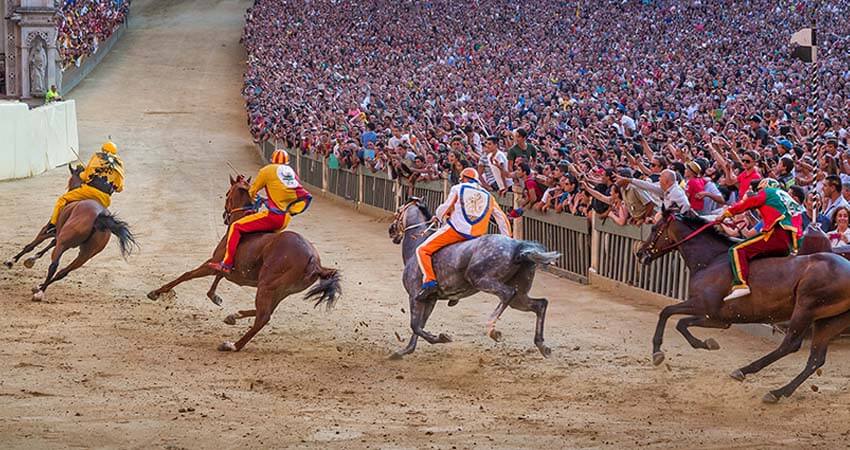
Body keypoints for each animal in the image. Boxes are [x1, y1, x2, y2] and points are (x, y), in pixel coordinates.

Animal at [2, 163, 136, 300]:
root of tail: (99, 217)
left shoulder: (47, 229)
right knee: (63, 272)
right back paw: (39, 287)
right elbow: (49, 244)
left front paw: (11, 261)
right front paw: (31, 259)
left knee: (54, 265)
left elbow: (32, 245)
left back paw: (40, 292)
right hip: (85, 254)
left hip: (64, 244)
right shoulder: (58, 234)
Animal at [147, 175, 340, 352]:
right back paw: (234, 316)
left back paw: (233, 345)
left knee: (263, 317)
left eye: (227, 194)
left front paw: (156, 292)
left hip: (267, 286)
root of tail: (314, 261)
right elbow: (218, 277)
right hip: (281, 290)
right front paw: (216, 298)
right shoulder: (227, 268)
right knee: (266, 312)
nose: (225, 215)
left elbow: (187, 275)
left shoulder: (213, 262)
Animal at [388, 199, 560, 360]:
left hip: (481, 280)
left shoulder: (415, 296)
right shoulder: (430, 299)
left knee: (507, 294)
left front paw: (441, 338)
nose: (391, 230)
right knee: (540, 304)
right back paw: (542, 346)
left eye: (398, 210)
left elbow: (415, 326)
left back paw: (492, 329)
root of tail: (518, 247)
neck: (415, 248)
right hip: (519, 297)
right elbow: (419, 326)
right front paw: (406, 350)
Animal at [632, 211, 850, 404]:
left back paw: (746, 372)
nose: (640, 253)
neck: (711, 260)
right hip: (828, 321)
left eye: (654, 228)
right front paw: (707, 343)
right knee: (815, 359)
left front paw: (657, 352)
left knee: (790, 345)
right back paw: (779, 392)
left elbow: (667, 313)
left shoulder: (703, 306)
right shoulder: (717, 319)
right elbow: (681, 323)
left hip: (805, 309)